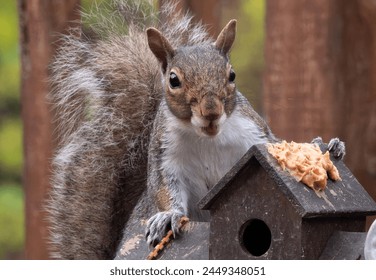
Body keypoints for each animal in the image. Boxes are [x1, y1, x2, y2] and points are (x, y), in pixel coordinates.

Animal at [45, 0, 346, 260]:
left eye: (232, 75)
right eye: (173, 80)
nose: (210, 112)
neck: (208, 138)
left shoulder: (254, 134)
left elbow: (276, 141)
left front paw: (328, 145)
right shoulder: (165, 156)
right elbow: (164, 190)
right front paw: (168, 216)